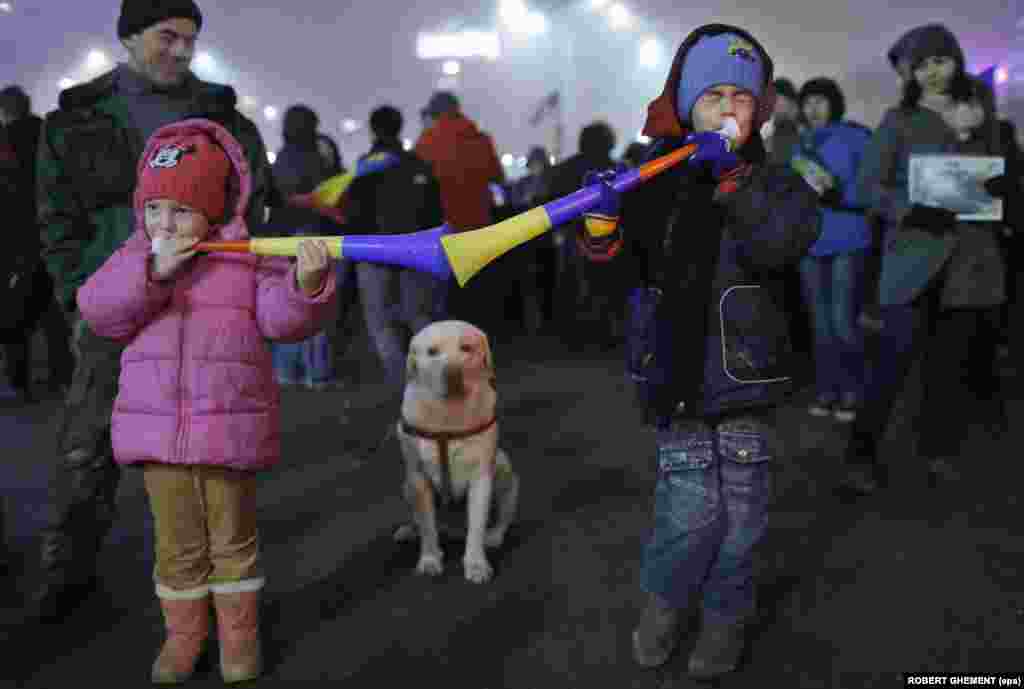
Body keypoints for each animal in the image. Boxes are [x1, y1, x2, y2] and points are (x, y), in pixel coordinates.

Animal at [393, 319, 520, 581]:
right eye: (432, 352)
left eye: (467, 348)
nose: (452, 374)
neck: (448, 418)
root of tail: (452, 530)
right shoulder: (418, 478)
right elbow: (427, 526)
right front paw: (430, 559)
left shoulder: (481, 478)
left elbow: (476, 527)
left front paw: (476, 564)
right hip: (406, 486)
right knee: (421, 521)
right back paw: (409, 530)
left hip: (504, 468)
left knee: (503, 516)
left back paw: (494, 536)